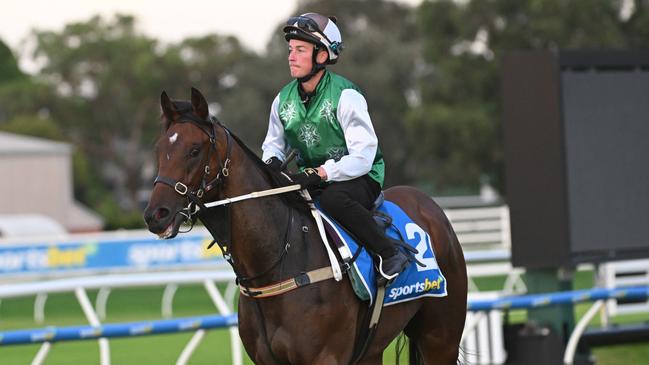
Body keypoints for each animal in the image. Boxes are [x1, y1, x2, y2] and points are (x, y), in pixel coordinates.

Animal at [143, 89, 466, 364]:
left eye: (194, 150)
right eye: (159, 149)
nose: (155, 214)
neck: (280, 259)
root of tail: (428, 203)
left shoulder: (324, 358)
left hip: (441, 337)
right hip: (372, 350)